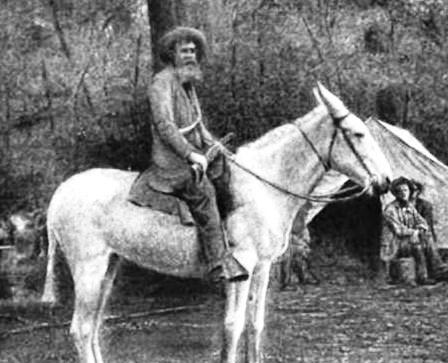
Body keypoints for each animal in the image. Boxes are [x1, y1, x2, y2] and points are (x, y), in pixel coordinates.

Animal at [43, 84, 392, 362]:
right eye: (358, 134)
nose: (388, 181)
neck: (264, 185)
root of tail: (59, 194)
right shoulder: (243, 267)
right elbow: (232, 327)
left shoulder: (263, 268)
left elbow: (254, 325)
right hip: (88, 269)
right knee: (80, 329)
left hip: (108, 269)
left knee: (92, 328)